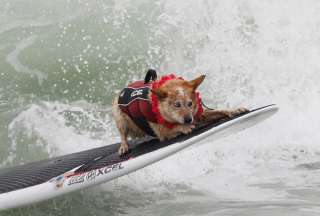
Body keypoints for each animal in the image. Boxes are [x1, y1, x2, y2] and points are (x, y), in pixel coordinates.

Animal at [112, 72, 248, 155]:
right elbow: (172, 128)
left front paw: (233, 110)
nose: (188, 120)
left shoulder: (198, 114)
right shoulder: (162, 132)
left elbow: (218, 111)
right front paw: (184, 127)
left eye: (190, 103)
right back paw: (124, 145)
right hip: (120, 116)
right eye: (177, 105)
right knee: (122, 133)